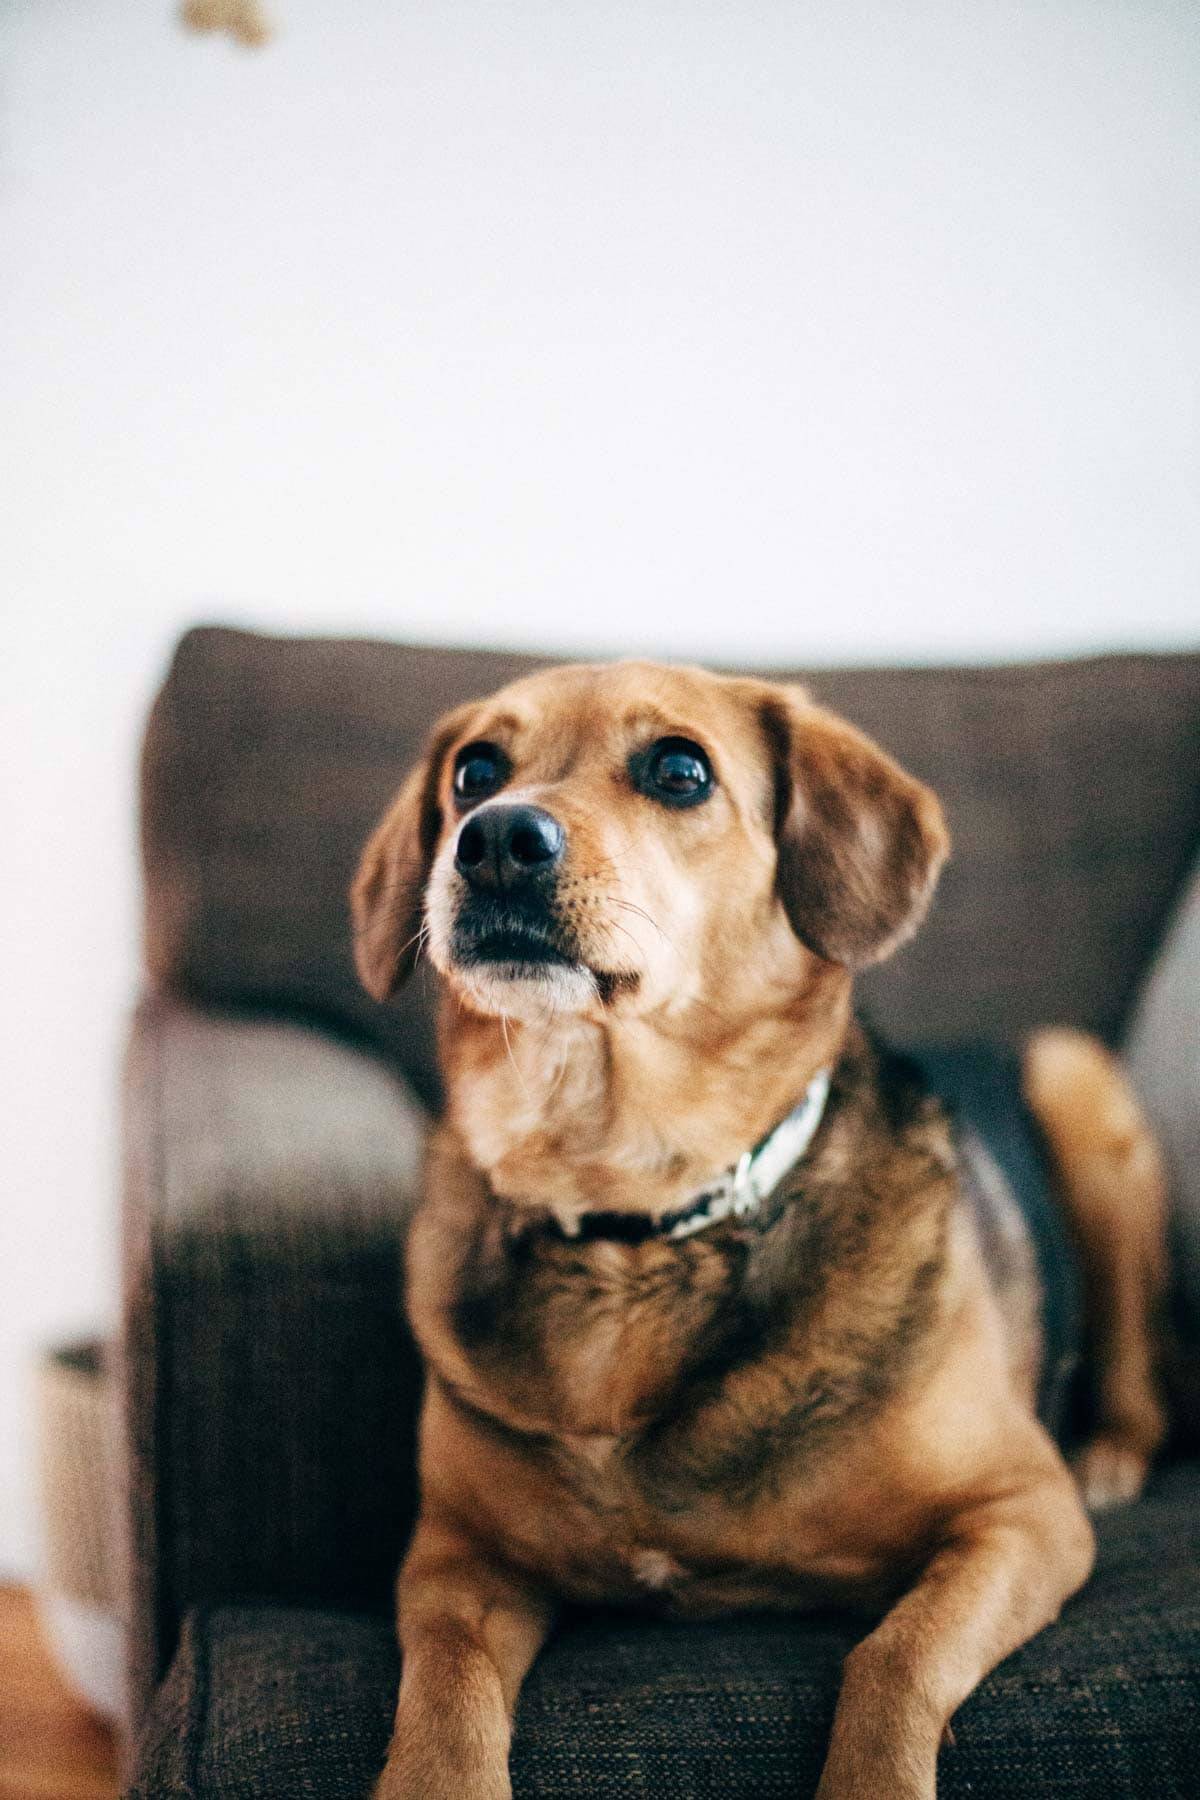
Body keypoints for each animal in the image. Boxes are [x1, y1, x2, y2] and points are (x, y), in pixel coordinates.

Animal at [349, 662, 1173, 1800]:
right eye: (474, 771)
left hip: (1079, 1092)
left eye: (680, 770)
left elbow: (893, 1657)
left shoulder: (1022, 1512)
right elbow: (443, 1698)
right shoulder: (454, 1560)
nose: (496, 838)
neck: (632, 1221)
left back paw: (1115, 1453)